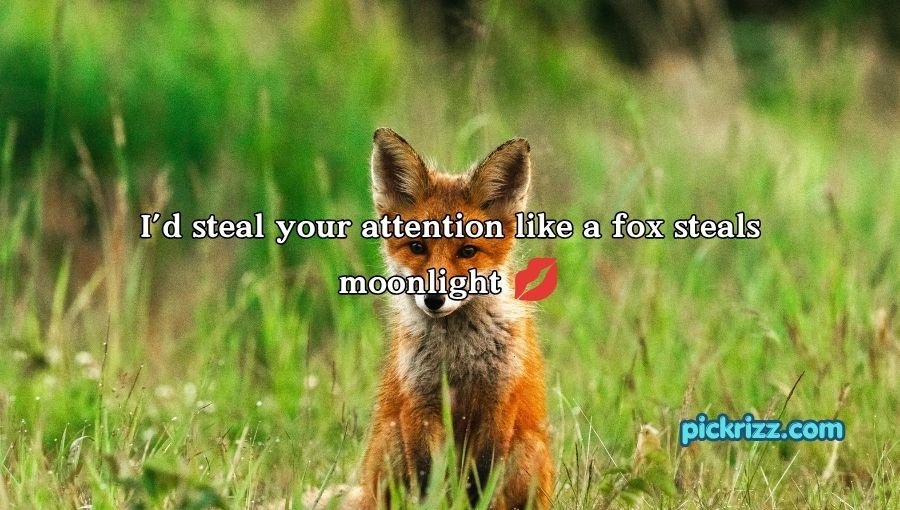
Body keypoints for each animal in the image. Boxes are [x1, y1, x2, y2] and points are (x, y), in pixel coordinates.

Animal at [341, 128, 554, 509]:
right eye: (417, 247)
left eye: (468, 251)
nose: (434, 299)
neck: (458, 355)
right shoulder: (420, 405)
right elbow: (428, 481)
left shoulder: (497, 403)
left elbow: (481, 482)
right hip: (390, 442)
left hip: (527, 450)